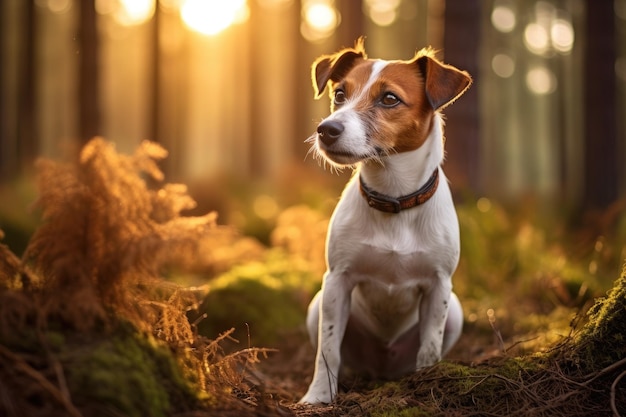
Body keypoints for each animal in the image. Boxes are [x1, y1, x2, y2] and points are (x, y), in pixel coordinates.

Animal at [300, 39, 470, 404]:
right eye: (339, 93)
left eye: (389, 98)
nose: (326, 129)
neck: (394, 200)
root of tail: (382, 369)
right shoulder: (337, 282)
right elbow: (328, 351)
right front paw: (318, 396)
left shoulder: (439, 286)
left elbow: (429, 347)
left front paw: (428, 385)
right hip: (317, 305)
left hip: (455, 312)